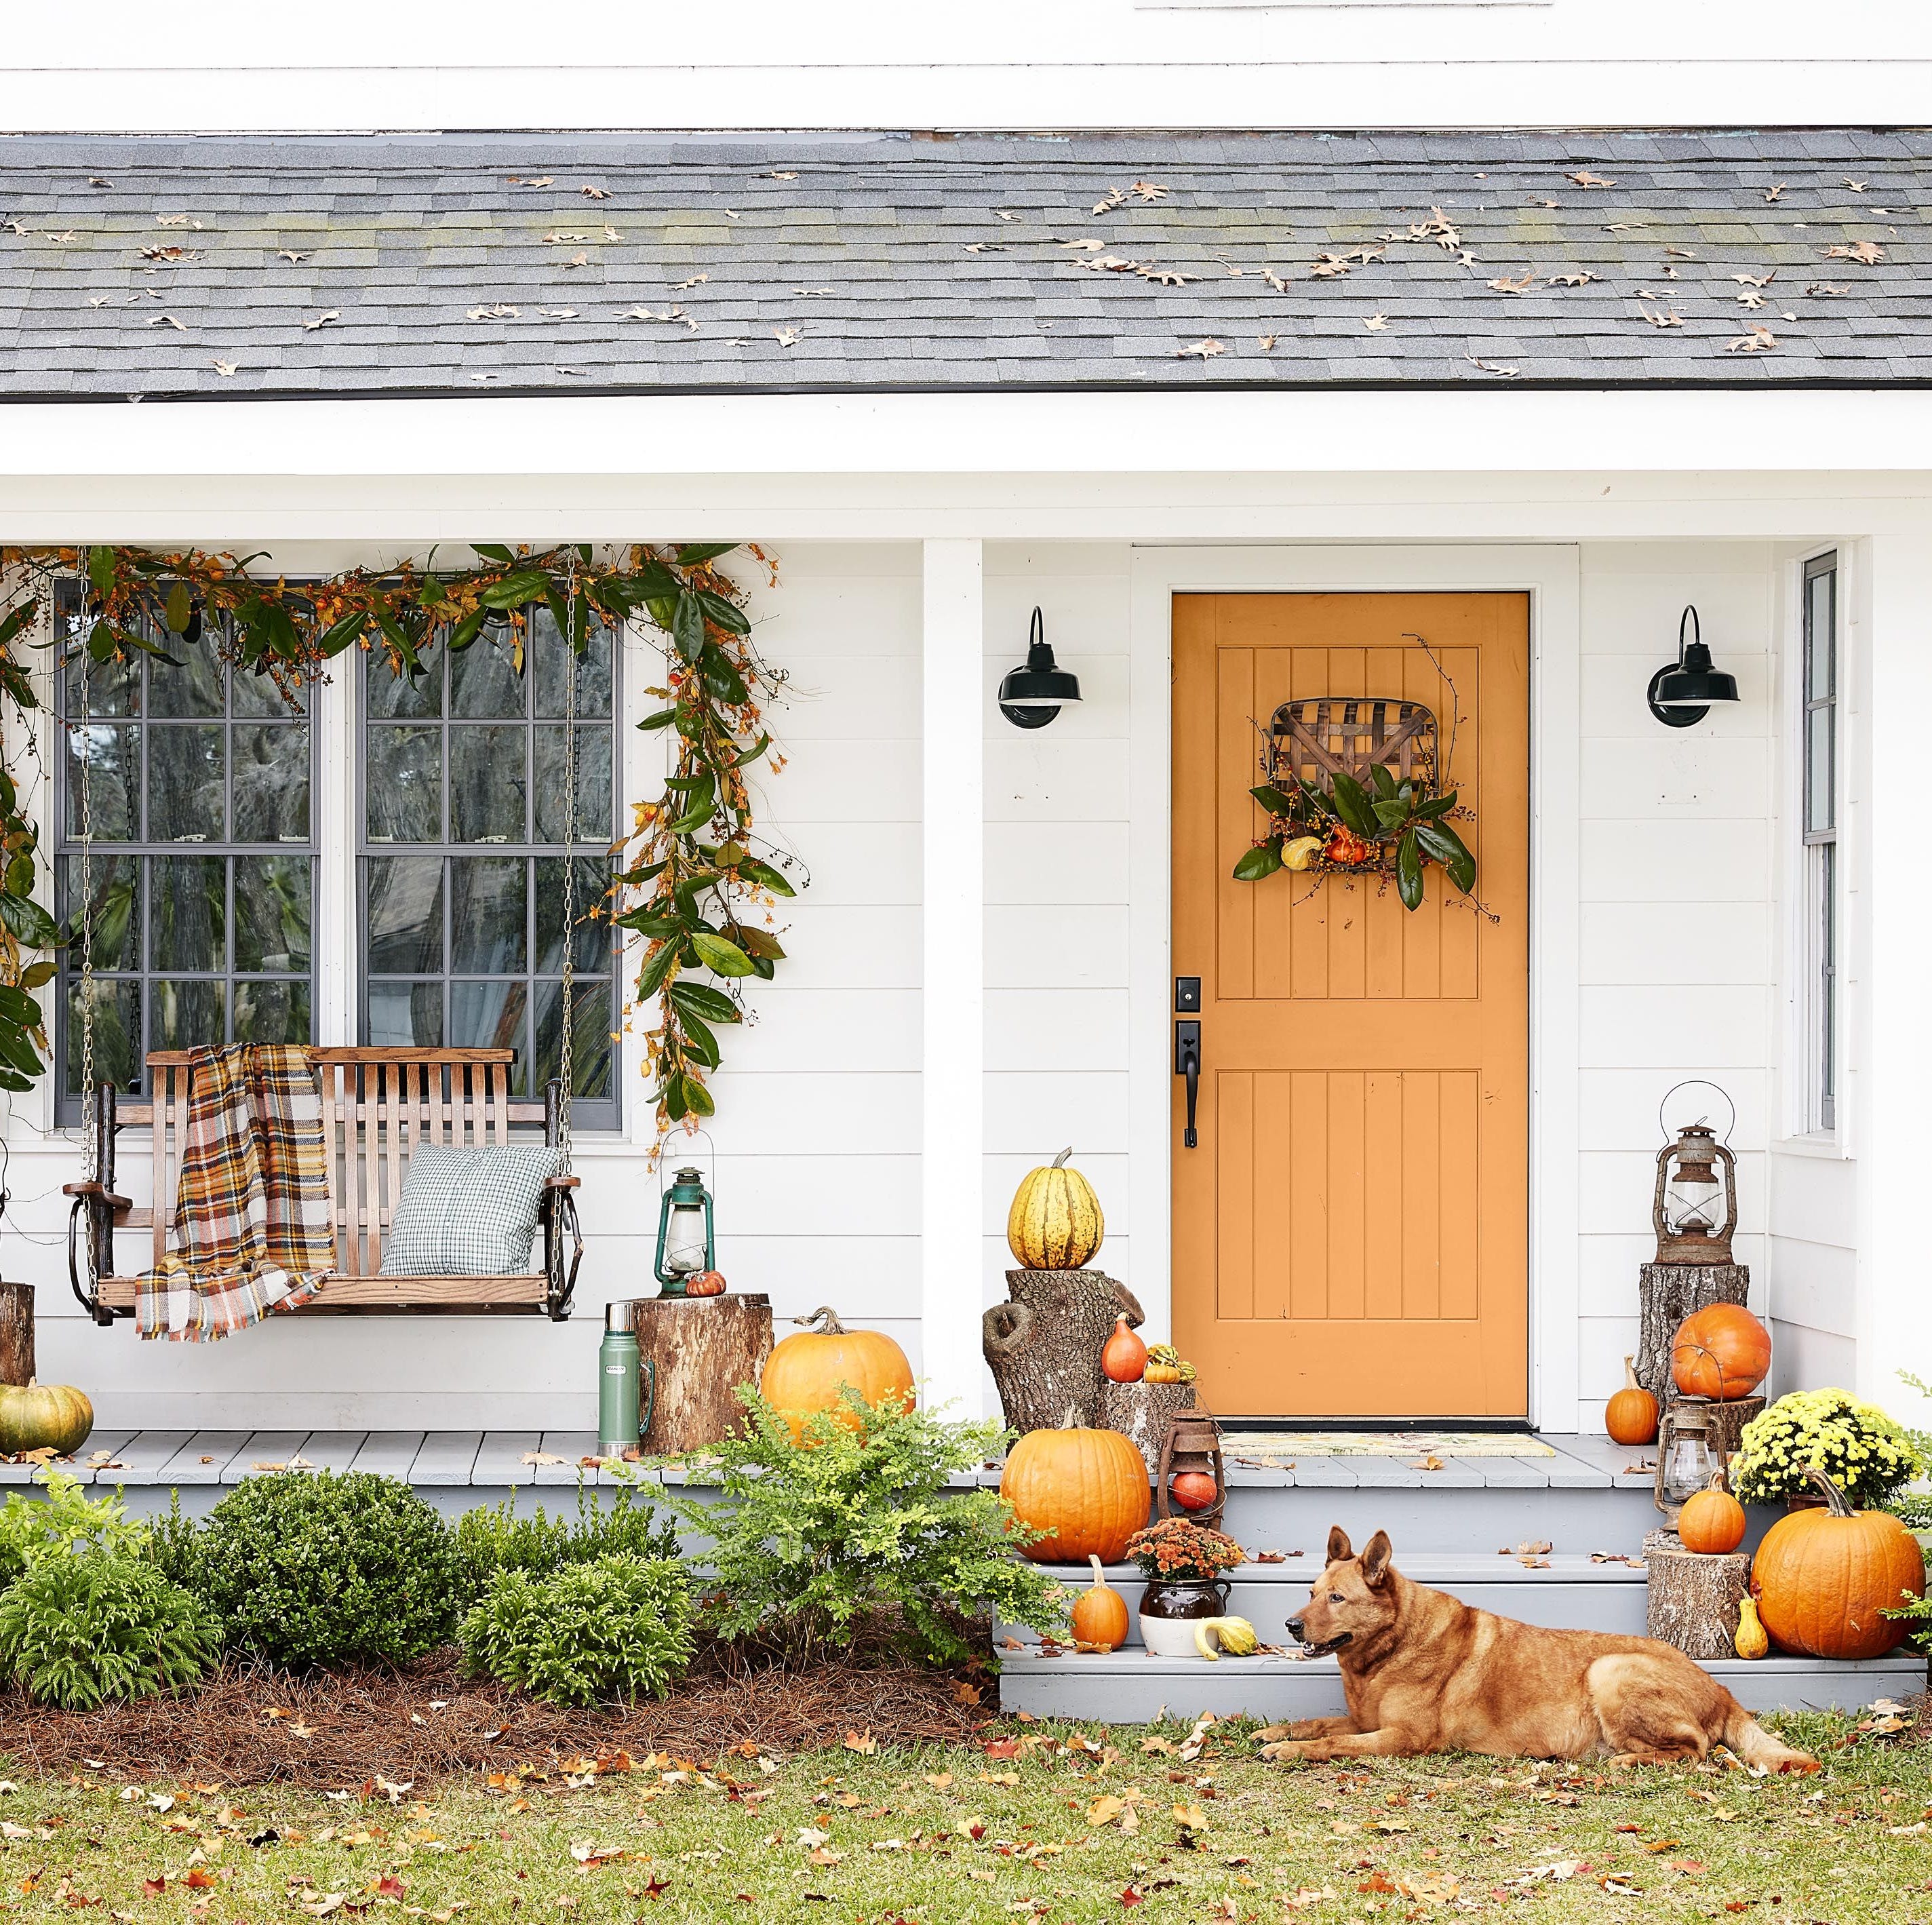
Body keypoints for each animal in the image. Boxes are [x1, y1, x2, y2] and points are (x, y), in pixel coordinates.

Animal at [1267, 1523, 1808, 1770]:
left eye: (1337, 1598)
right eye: (1311, 1592)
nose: (1290, 1625)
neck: (1387, 1650)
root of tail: (1720, 1689)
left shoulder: (1402, 1738)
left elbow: (1331, 1742)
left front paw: (1291, 1750)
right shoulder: (1365, 1722)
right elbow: (1315, 1724)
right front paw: (1276, 1734)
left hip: (1609, 1671)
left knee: (1694, 1751)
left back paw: (1624, 1763)